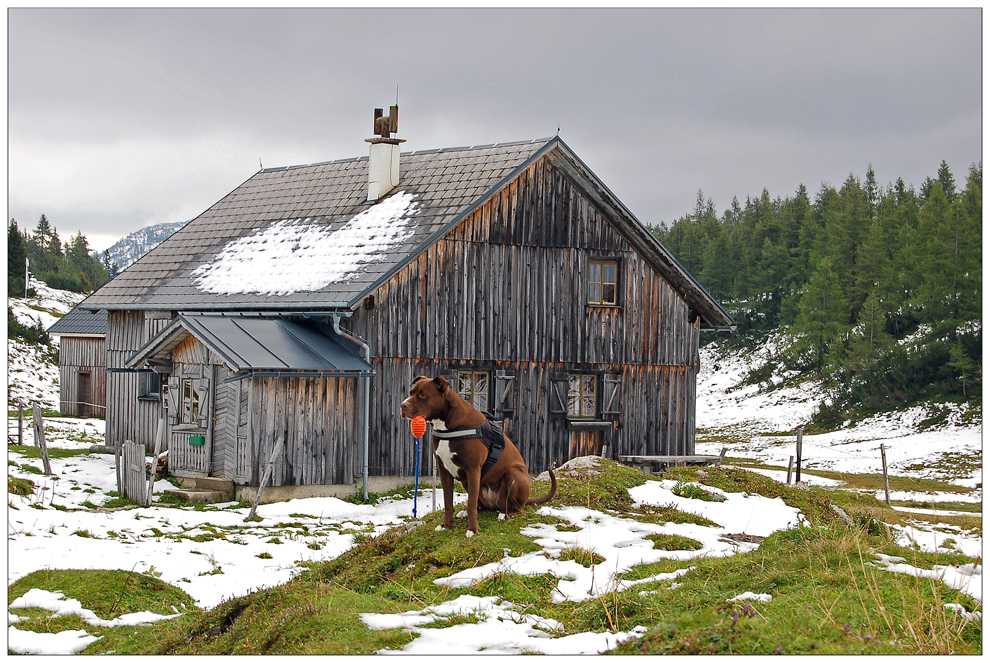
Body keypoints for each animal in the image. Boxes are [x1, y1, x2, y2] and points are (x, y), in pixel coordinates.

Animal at [404, 376, 560, 536]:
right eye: (411, 392)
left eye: (423, 395)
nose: (403, 406)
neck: (446, 424)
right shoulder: (444, 471)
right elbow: (449, 502)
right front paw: (446, 525)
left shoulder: (473, 469)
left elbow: (471, 503)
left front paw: (472, 529)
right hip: (468, 482)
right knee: (481, 505)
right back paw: (466, 512)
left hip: (513, 474)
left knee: (517, 508)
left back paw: (505, 514)